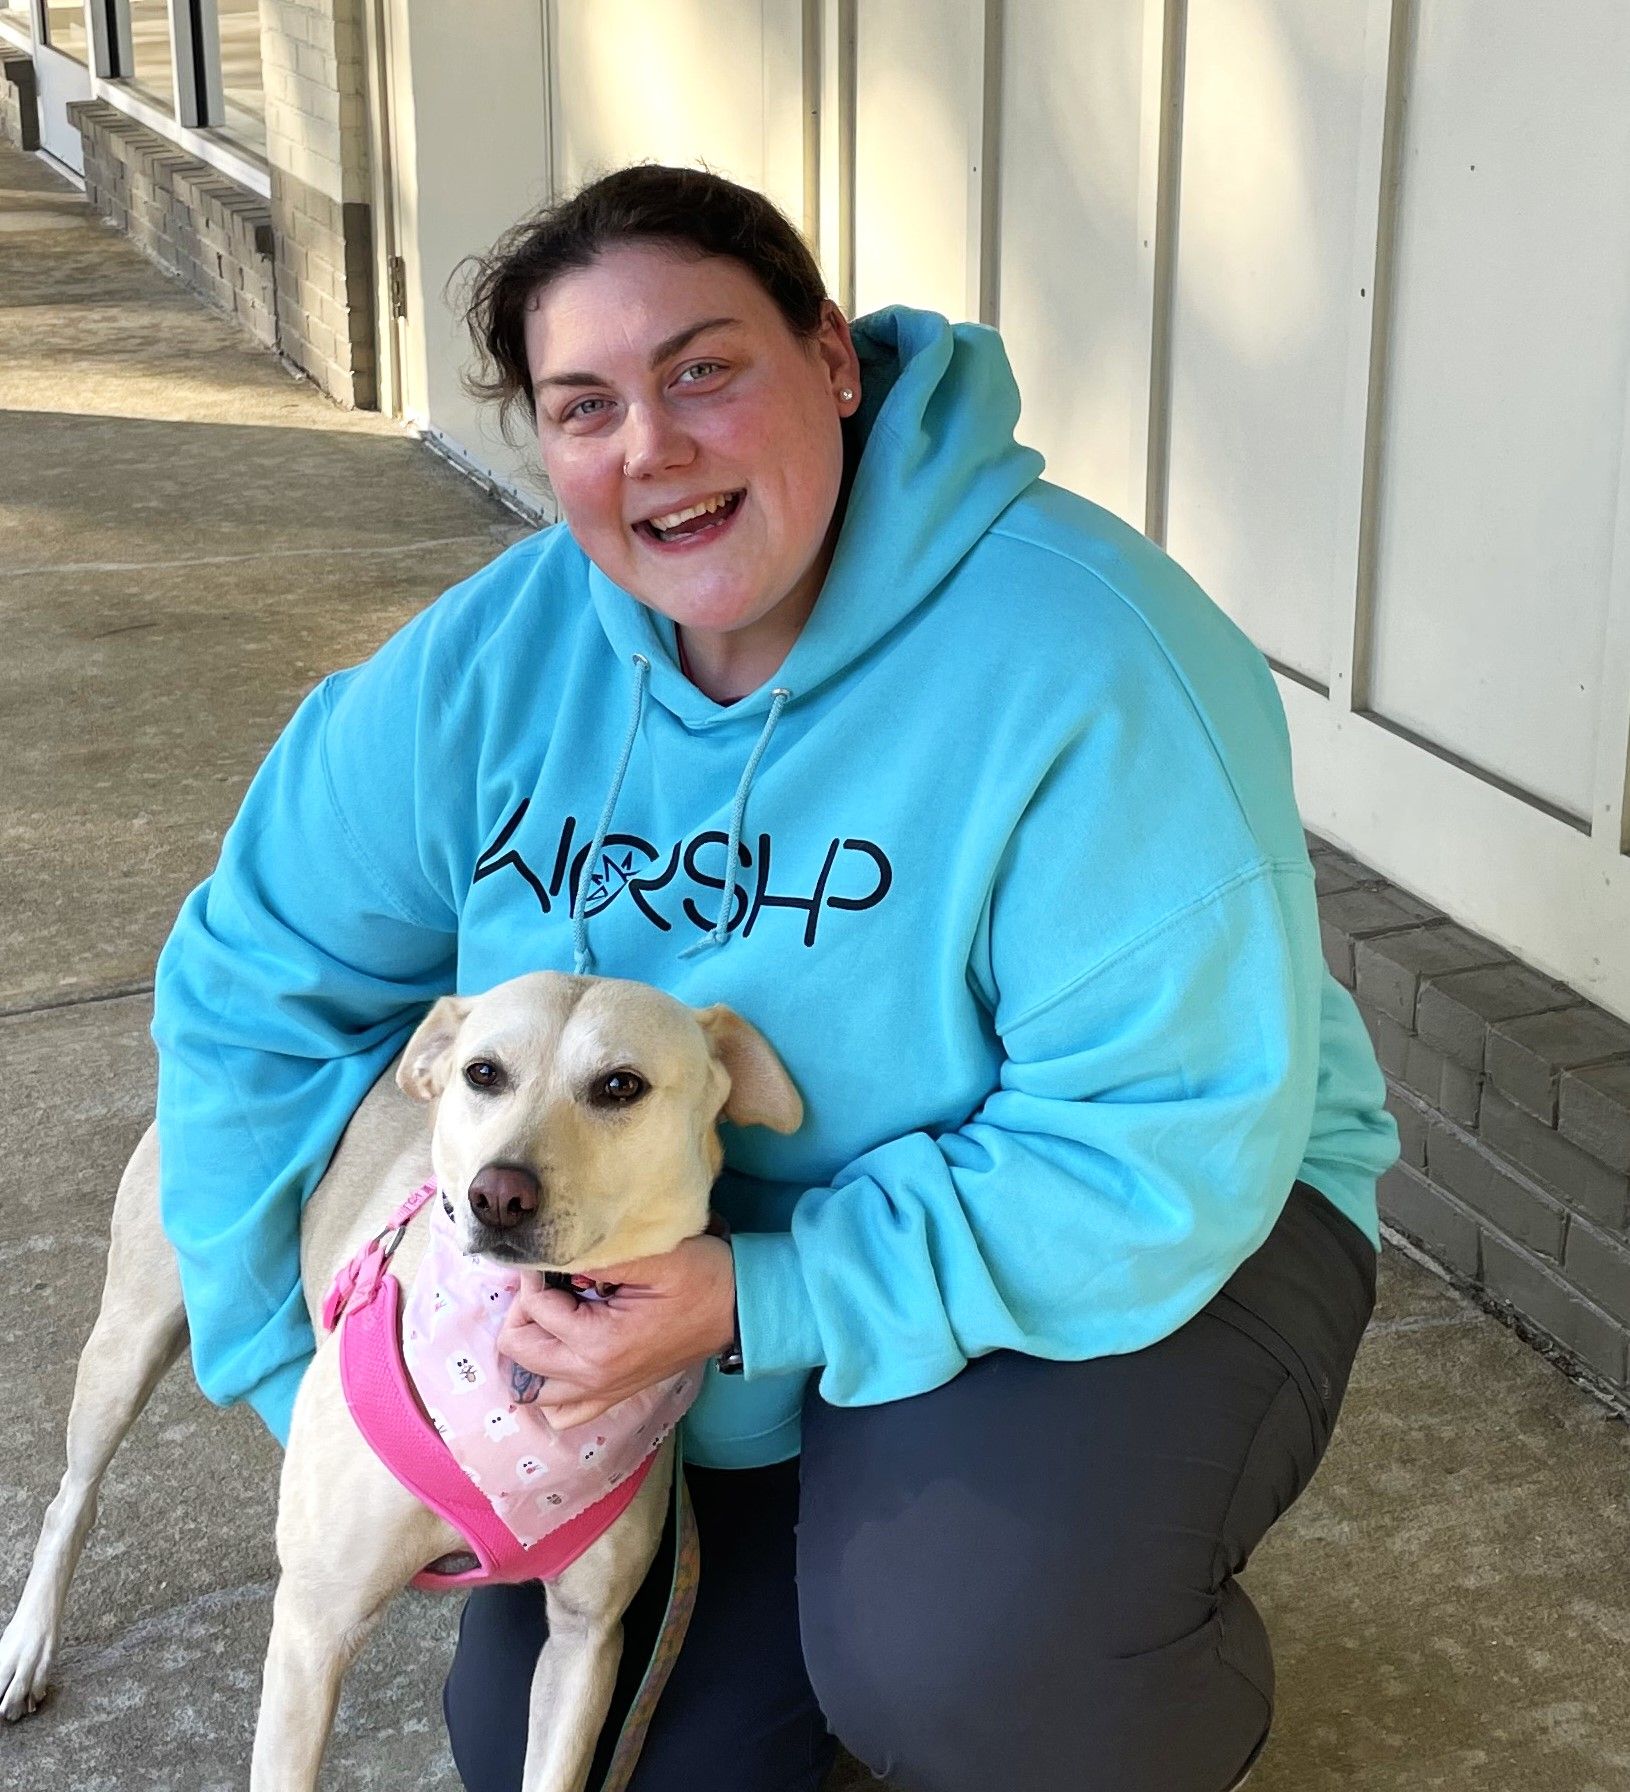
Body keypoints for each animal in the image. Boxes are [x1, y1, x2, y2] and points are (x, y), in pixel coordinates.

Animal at [0, 974, 802, 1792]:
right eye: (483, 1073)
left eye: (620, 1086)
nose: (497, 1195)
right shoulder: (313, 1631)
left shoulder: (585, 1643)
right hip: (128, 1343)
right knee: (71, 1498)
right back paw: (27, 1644)